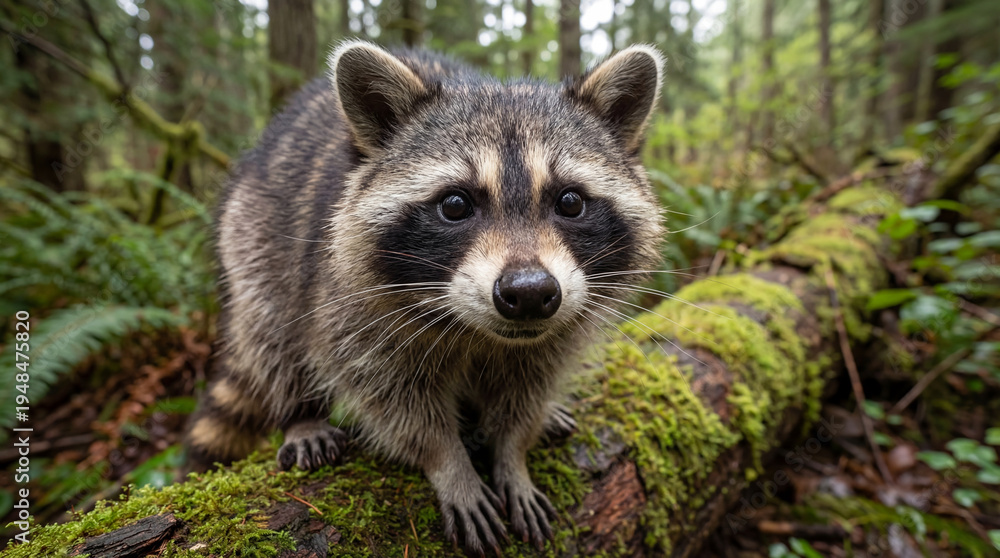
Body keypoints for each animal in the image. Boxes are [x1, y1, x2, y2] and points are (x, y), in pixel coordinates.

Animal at [186, 40, 665, 555]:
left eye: (570, 202)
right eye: (455, 205)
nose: (530, 294)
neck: (482, 333)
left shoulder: (554, 329)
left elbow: (528, 387)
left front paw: (512, 454)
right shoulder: (351, 308)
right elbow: (394, 399)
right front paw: (449, 465)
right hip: (251, 239)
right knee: (271, 331)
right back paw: (299, 414)